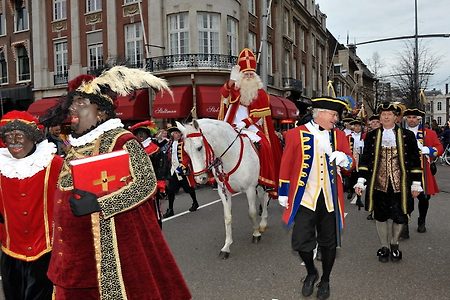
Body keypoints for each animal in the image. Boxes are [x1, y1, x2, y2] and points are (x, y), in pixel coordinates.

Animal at [177, 118, 268, 258]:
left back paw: (263, 223)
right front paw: (226, 246)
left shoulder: (250, 189)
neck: (231, 156)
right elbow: (227, 217)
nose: (199, 179)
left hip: (262, 182)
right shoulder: (223, 191)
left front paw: (256, 233)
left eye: (199, 147)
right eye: (186, 151)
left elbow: (251, 213)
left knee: (265, 198)